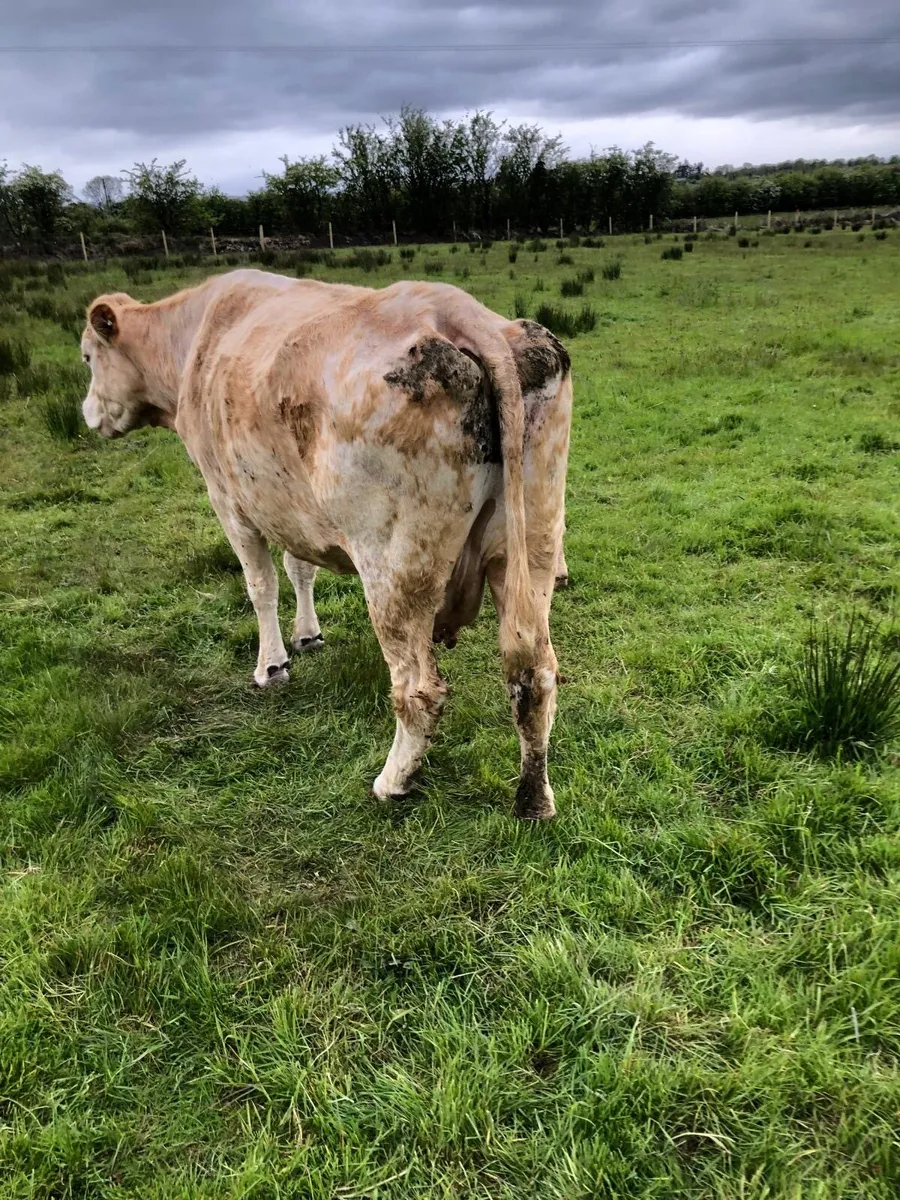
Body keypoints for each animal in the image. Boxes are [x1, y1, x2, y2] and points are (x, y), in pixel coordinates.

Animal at [80, 269, 572, 818]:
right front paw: (308, 634)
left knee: (419, 688)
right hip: (532, 546)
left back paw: (394, 781)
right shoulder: (293, 508)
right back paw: (534, 799)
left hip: (394, 568)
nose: (88, 414)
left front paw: (271, 665)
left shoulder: (229, 501)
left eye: (87, 357)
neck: (194, 342)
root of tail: (464, 314)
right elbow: (300, 569)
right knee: (534, 673)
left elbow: (261, 585)